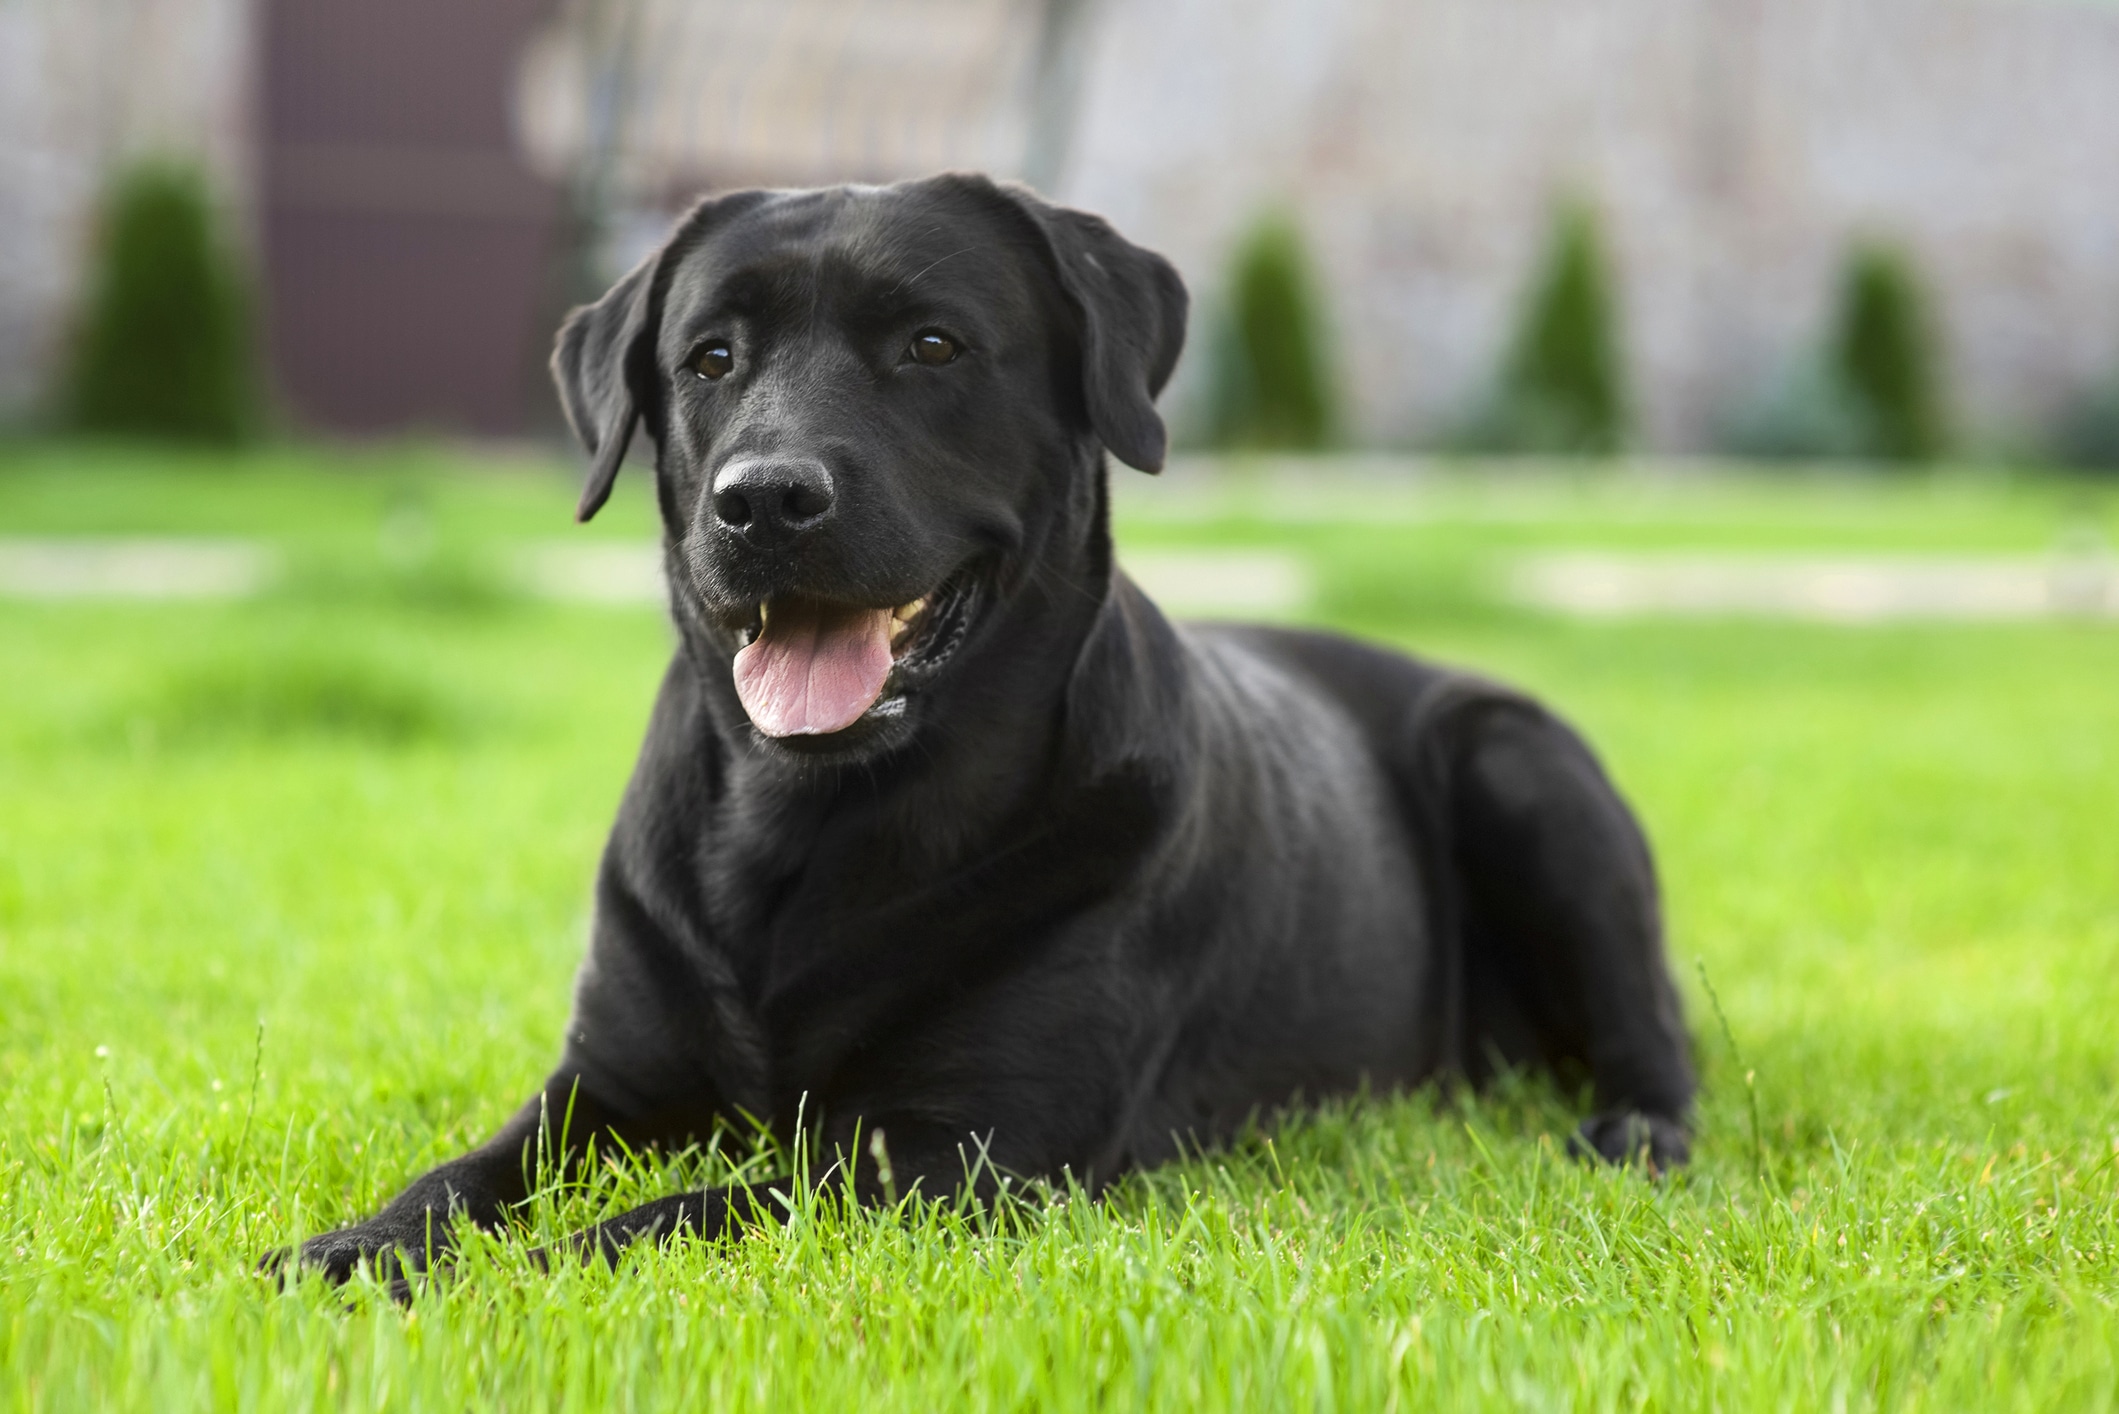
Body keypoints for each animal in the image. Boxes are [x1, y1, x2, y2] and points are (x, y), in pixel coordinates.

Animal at [290, 173, 1695, 1280]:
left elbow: (677, 1212)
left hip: (1522, 767)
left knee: (1661, 1041)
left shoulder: (962, 1148)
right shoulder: (605, 1082)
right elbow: (468, 1170)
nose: (764, 499)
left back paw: (1631, 1135)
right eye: (709, 359)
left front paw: (510, 1273)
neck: (806, 822)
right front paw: (360, 1246)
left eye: (931, 344)